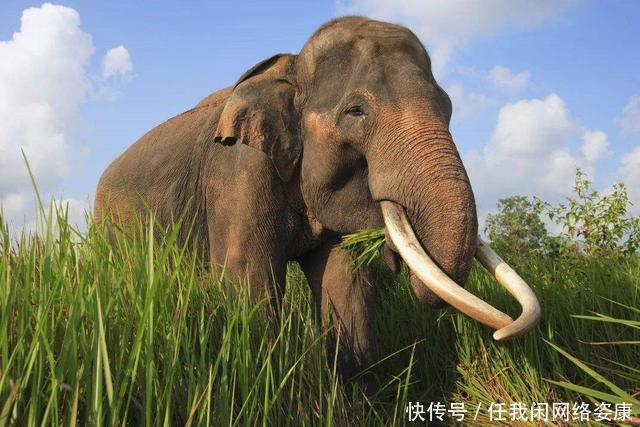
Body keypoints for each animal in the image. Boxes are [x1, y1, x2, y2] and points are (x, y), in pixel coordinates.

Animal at [95, 16, 540, 379]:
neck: (289, 68)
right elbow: (249, 279)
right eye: (356, 112)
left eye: (448, 107)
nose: (501, 335)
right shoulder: (238, 169)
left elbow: (344, 282)